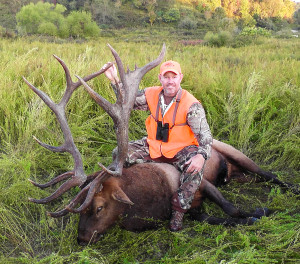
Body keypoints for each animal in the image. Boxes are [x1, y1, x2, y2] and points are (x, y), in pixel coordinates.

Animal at [24, 43, 298, 245]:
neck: (151, 202)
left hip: (236, 154)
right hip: (237, 176)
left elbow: (231, 209)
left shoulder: (201, 183)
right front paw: (252, 218)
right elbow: (220, 218)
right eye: (81, 210)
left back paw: (292, 188)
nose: (81, 238)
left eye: (99, 207)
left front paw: (263, 213)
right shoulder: (194, 210)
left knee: (269, 174)